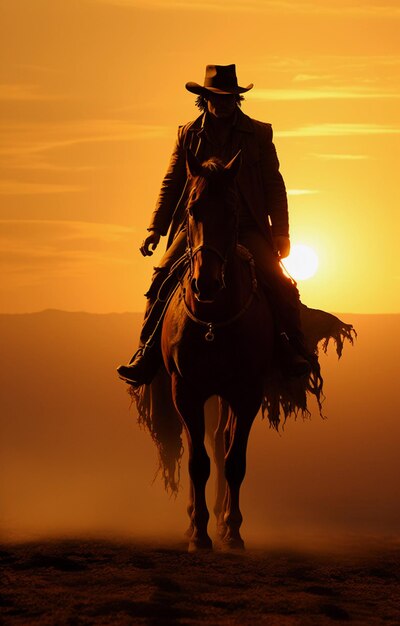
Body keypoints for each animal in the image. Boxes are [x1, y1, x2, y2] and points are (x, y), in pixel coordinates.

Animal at [159, 149, 276, 548]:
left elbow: (234, 460)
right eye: (192, 209)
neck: (213, 320)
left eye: (232, 209)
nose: (206, 283)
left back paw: (224, 523)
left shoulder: (247, 392)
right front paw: (198, 534)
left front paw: (233, 530)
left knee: (222, 447)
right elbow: (198, 463)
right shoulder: (186, 391)